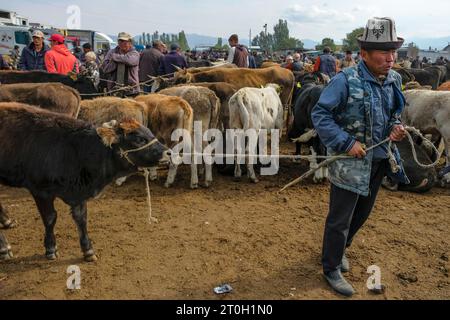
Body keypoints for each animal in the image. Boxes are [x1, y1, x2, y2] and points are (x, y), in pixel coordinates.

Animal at [0, 104, 169, 262]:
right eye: (139, 139)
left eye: (150, 133)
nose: (168, 152)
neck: (74, 149)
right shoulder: (41, 191)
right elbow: (50, 218)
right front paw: (51, 248)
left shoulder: (78, 194)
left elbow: (81, 219)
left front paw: (88, 250)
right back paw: (4, 248)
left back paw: (7, 222)